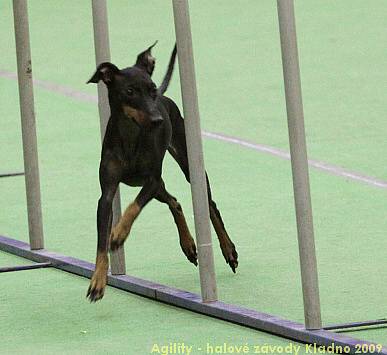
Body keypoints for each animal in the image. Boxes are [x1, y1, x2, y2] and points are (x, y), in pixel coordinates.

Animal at [87, 43, 238, 302]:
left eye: (152, 89)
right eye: (129, 91)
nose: (157, 120)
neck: (130, 137)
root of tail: (166, 99)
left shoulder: (151, 180)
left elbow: (132, 208)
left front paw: (118, 234)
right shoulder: (107, 195)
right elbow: (101, 244)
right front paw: (98, 281)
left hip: (188, 165)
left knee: (210, 206)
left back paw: (228, 250)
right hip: (158, 187)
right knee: (175, 202)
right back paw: (188, 245)